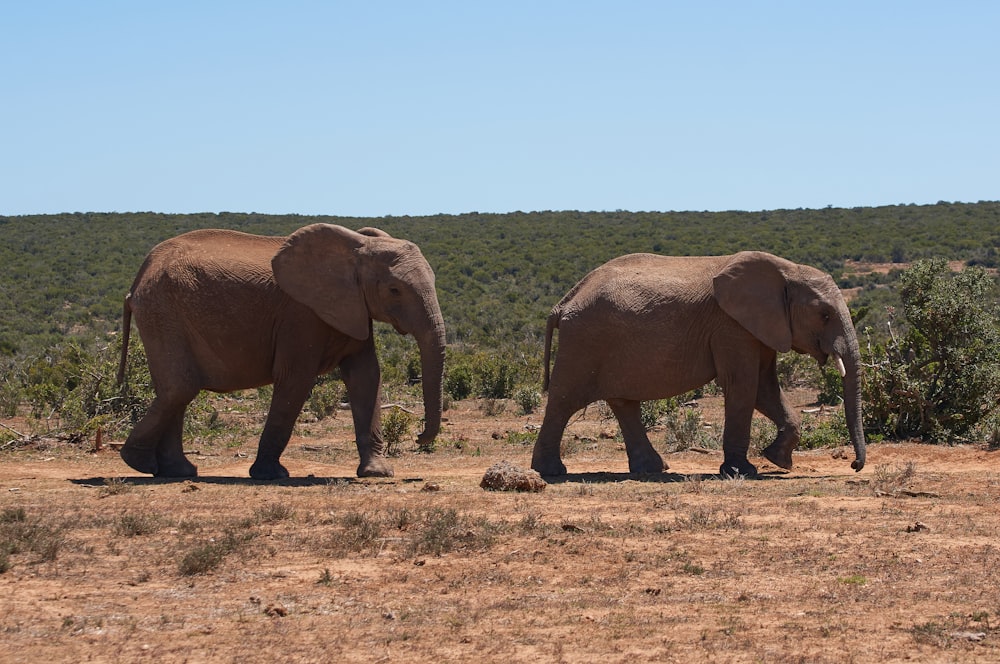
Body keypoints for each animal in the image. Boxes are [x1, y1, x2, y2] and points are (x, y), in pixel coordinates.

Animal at [117, 223, 446, 478]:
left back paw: (177, 471)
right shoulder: (300, 316)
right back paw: (140, 463)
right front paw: (271, 474)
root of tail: (138, 277)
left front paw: (377, 473)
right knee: (180, 387)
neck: (356, 247)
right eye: (394, 290)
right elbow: (295, 380)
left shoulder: (353, 309)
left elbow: (366, 378)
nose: (419, 436)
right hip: (162, 311)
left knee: (179, 390)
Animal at [532, 249, 868, 478]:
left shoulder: (759, 327)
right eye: (824, 314)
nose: (854, 465)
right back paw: (550, 472)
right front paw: (742, 472)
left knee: (623, 404)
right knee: (564, 400)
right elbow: (743, 386)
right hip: (584, 341)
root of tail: (563, 302)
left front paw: (778, 460)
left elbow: (765, 388)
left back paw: (654, 469)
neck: (786, 270)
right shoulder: (731, 326)